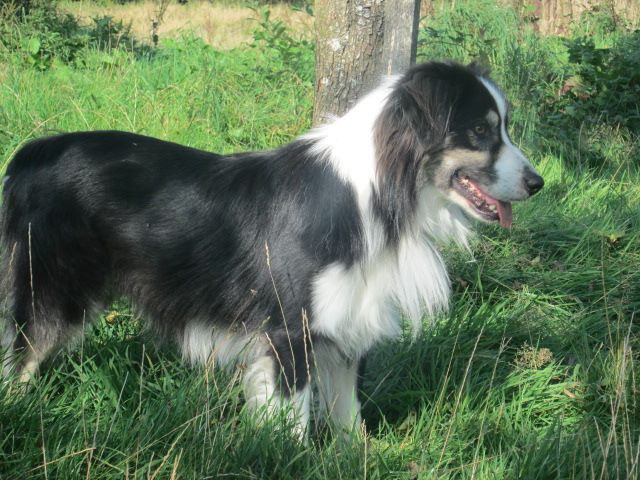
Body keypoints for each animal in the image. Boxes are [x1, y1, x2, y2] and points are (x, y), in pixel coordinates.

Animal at [0, 61, 543, 436]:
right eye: (480, 131)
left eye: (504, 126)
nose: (538, 184)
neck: (378, 194)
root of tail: (31, 152)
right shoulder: (288, 329)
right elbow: (294, 420)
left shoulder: (346, 322)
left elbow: (349, 416)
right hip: (53, 289)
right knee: (22, 354)